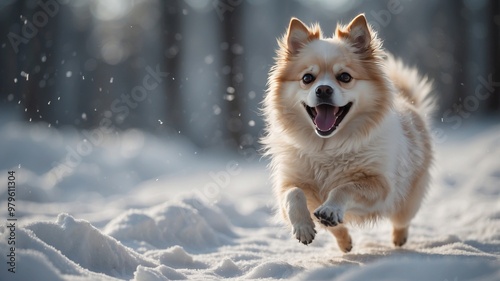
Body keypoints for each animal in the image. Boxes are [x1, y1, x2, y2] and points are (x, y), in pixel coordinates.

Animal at [262, 13, 434, 252]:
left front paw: (331, 208)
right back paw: (345, 243)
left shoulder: (379, 185)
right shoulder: (289, 183)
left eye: (344, 77)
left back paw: (398, 239)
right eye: (307, 78)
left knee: (401, 220)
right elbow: (293, 194)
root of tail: (410, 105)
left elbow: (344, 188)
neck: (327, 147)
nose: (323, 89)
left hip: (406, 201)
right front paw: (303, 227)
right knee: (335, 228)